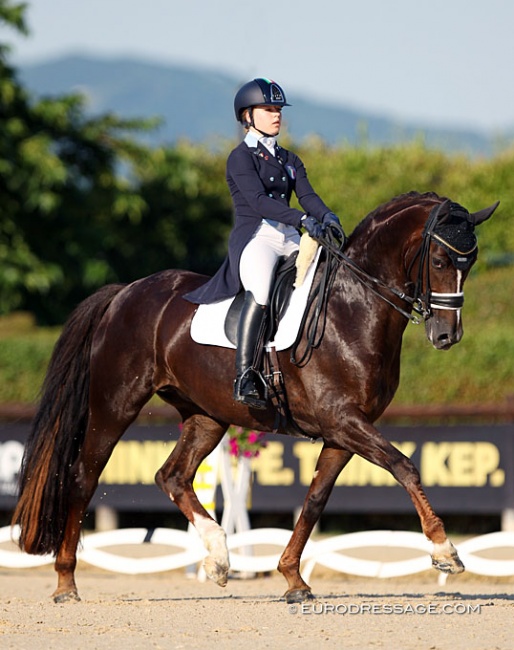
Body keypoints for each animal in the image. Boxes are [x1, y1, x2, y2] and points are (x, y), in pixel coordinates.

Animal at [13, 191, 496, 604]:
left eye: (470, 262)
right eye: (439, 259)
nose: (447, 336)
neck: (353, 308)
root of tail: (125, 293)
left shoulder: (344, 431)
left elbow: (315, 500)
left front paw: (293, 579)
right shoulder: (343, 420)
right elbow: (404, 466)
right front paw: (445, 550)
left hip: (206, 416)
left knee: (173, 476)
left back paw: (218, 559)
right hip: (115, 405)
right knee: (83, 477)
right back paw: (66, 583)